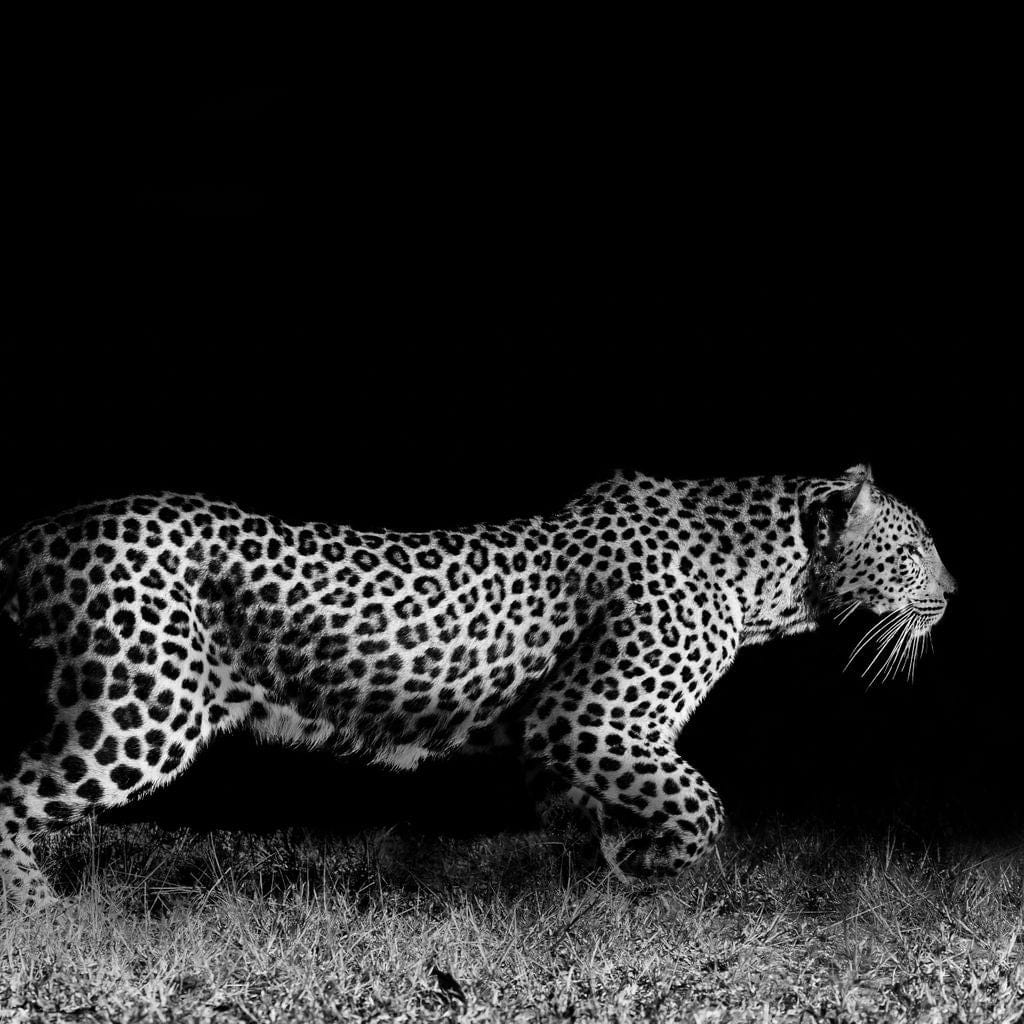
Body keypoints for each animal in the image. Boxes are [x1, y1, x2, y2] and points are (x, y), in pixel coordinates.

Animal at [0, 464, 956, 907]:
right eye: (914, 548)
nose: (952, 594)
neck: (768, 580)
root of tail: (48, 529)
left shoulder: (575, 743)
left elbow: (605, 814)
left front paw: (602, 879)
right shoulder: (587, 718)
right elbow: (701, 802)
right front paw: (652, 867)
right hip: (141, 709)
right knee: (14, 791)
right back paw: (38, 907)